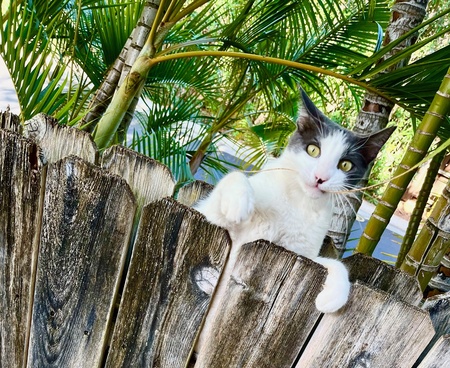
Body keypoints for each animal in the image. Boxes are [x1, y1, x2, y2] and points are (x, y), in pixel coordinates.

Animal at [193, 89, 394, 354]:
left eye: (345, 164)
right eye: (313, 150)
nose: (320, 178)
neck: (299, 202)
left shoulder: (301, 253)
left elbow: (331, 263)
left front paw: (333, 296)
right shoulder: (213, 218)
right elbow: (233, 181)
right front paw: (238, 202)